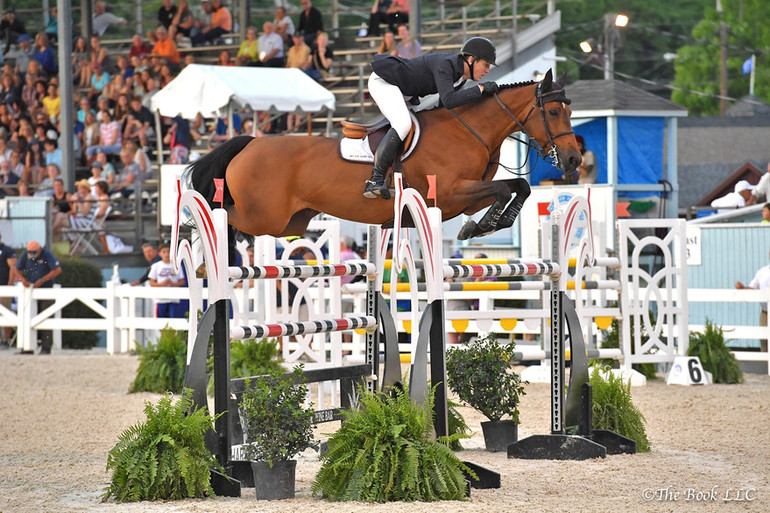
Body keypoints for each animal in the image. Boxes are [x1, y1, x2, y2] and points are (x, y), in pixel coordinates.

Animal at [186, 68, 580, 242]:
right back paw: (196, 232)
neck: (467, 129)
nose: (574, 160)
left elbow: (518, 188)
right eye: (554, 111)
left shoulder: (465, 198)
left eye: (570, 110)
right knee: (223, 214)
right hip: (264, 216)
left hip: (290, 223)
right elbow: (502, 188)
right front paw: (479, 227)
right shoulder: (450, 193)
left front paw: (491, 223)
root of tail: (251, 143)